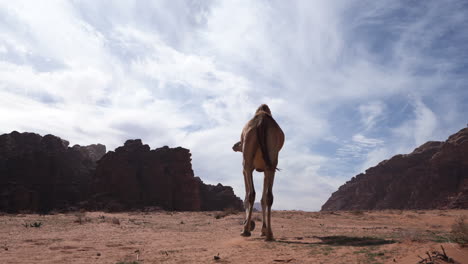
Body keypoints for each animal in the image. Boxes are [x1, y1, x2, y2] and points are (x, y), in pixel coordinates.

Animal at [231, 103, 284, 241]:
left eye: (239, 142)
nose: (234, 146)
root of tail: (261, 122)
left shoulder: (244, 169)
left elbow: (246, 196)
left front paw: (248, 226)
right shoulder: (266, 169)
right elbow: (263, 198)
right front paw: (263, 231)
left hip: (248, 160)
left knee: (251, 194)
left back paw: (245, 231)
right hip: (272, 160)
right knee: (269, 196)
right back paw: (270, 234)